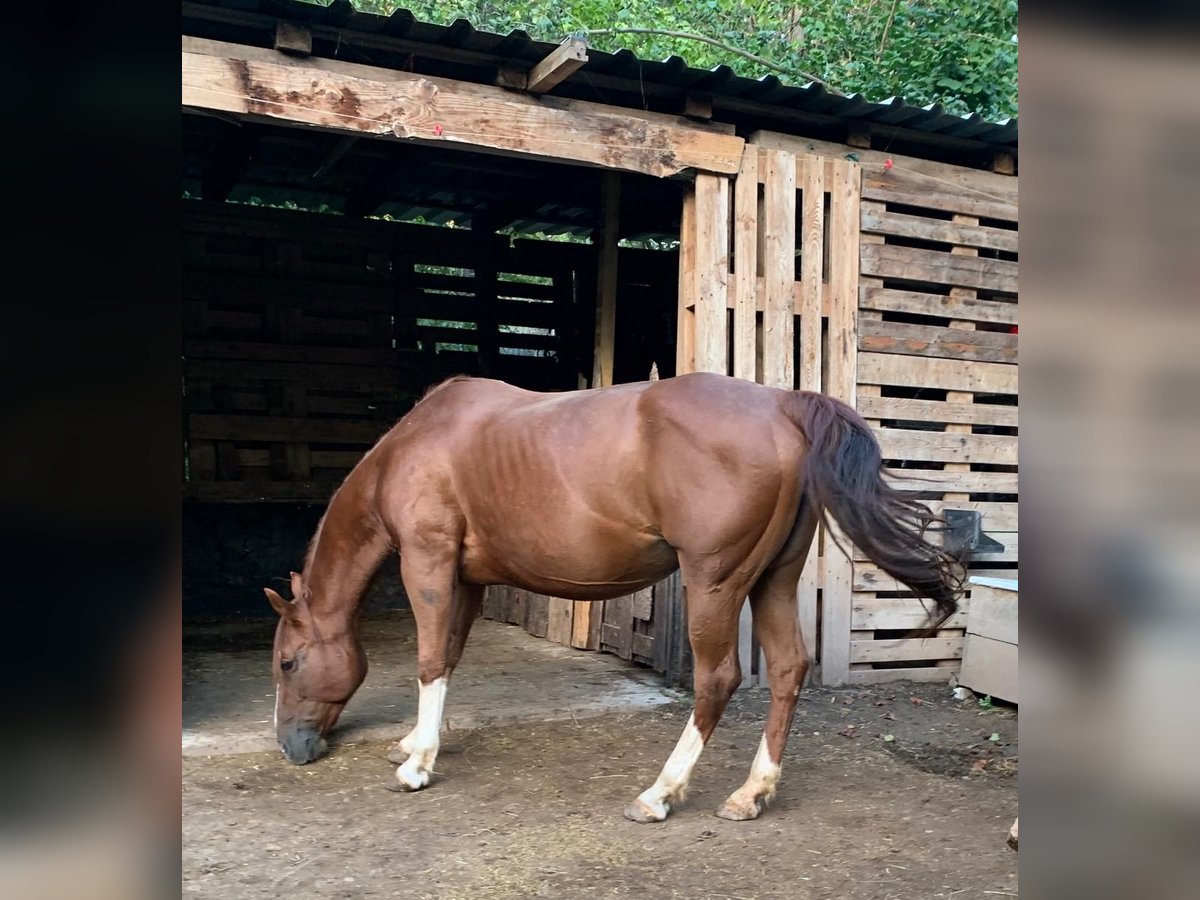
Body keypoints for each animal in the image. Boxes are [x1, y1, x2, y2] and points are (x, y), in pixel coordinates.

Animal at [262, 374, 955, 825]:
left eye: (288, 663)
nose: (291, 748)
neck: (416, 445)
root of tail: (783, 404)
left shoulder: (427, 562)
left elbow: (431, 659)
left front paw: (416, 766)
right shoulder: (467, 579)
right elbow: (451, 654)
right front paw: (414, 743)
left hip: (716, 584)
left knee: (717, 679)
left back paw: (660, 793)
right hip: (772, 583)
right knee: (787, 670)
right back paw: (751, 794)